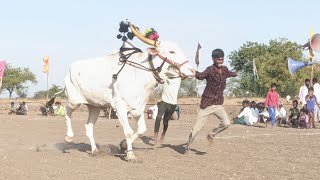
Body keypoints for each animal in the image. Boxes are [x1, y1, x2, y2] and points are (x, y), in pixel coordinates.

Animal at [61, 41, 194, 162]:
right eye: (172, 51)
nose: (192, 70)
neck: (139, 74)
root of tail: (70, 69)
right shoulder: (120, 108)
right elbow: (129, 132)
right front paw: (130, 155)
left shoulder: (139, 109)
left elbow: (141, 130)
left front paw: (124, 145)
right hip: (74, 101)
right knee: (67, 111)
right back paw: (68, 138)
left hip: (94, 107)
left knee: (89, 126)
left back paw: (94, 150)